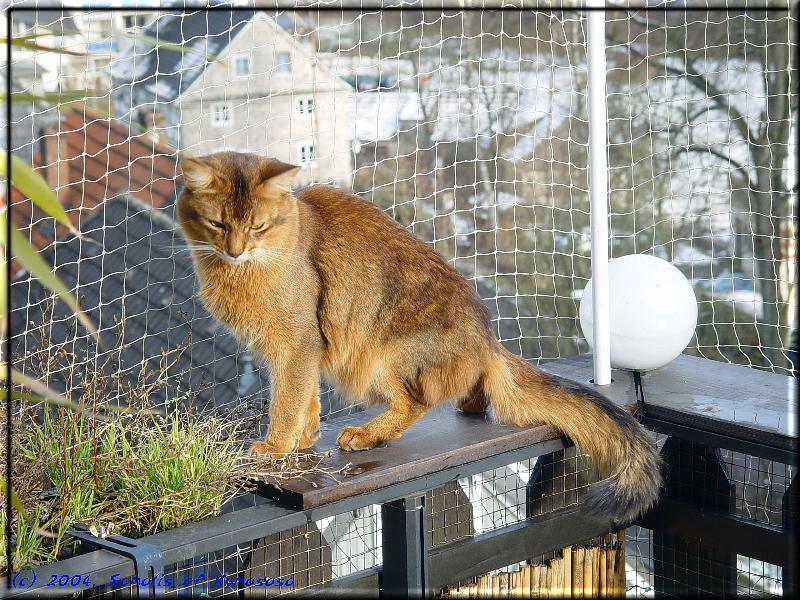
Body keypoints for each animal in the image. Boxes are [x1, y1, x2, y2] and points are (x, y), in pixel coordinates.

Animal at [180, 152, 664, 524]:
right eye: (218, 225)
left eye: (257, 227)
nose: (236, 250)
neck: (240, 271)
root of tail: (486, 337)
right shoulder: (303, 351)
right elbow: (306, 400)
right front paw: (303, 439)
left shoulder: (298, 344)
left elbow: (287, 401)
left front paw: (276, 448)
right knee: (474, 394)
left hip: (383, 349)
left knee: (418, 400)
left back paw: (367, 434)